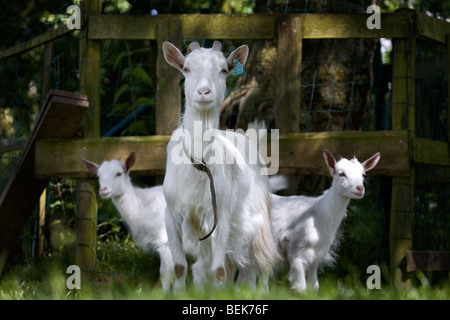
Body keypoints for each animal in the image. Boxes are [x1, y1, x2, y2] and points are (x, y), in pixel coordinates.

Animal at [162, 40, 282, 290]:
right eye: (186, 69)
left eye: (224, 70)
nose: (203, 92)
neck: (199, 164)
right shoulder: (173, 212)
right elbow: (180, 267)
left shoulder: (221, 215)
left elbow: (218, 271)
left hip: (257, 216)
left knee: (263, 258)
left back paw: (262, 290)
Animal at [268, 149, 382, 292]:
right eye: (341, 173)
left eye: (363, 174)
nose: (359, 189)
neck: (318, 215)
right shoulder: (296, 251)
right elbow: (301, 286)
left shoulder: (315, 256)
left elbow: (314, 285)